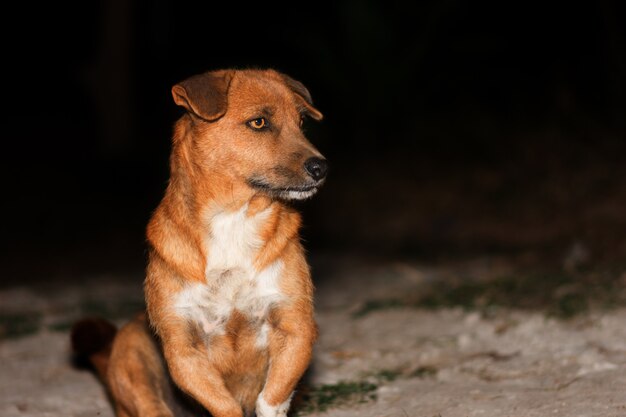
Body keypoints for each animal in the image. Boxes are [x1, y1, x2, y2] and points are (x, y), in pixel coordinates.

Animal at [72, 70, 326, 416]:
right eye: (259, 122)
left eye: (301, 122)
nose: (321, 167)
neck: (234, 219)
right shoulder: (183, 350)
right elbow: (226, 406)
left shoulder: (295, 328)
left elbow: (271, 397)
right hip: (133, 350)